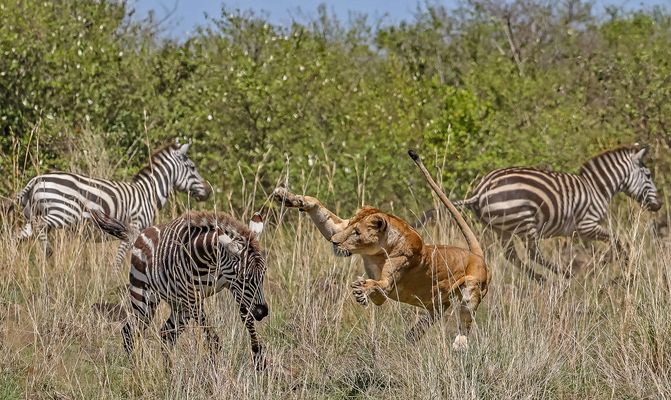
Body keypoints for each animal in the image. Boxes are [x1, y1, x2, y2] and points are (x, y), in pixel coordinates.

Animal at [272, 150, 490, 349]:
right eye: (351, 226)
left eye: (357, 233)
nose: (334, 242)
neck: (376, 252)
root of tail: (476, 254)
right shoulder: (338, 228)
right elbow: (320, 210)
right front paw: (288, 197)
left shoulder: (389, 285)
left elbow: (379, 284)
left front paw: (361, 289)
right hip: (435, 304)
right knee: (429, 319)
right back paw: (409, 340)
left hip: (472, 289)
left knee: (465, 321)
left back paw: (459, 345)